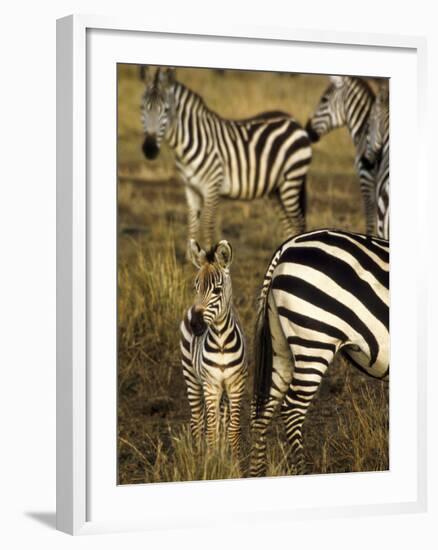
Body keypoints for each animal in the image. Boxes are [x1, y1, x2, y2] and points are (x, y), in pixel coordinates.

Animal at [140, 65, 312, 252]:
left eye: (166, 110)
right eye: (142, 108)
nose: (149, 149)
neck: (191, 141)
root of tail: (293, 121)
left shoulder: (212, 186)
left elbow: (207, 226)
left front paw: (209, 258)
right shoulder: (191, 189)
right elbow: (192, 228)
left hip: (291, 181)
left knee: (298, 223)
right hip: (275, 190)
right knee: (289, 226)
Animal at [178, 239, 246, 464]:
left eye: (217, 290)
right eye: (195, 287)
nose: (195, 325)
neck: (221, 343)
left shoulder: (235, 385)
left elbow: (232, 429)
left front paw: (233, 463)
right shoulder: (210, 385)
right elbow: (210, 430)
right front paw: (210, 463)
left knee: (221, 420)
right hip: (191, 376)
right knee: (198, 419)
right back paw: (199, 455)